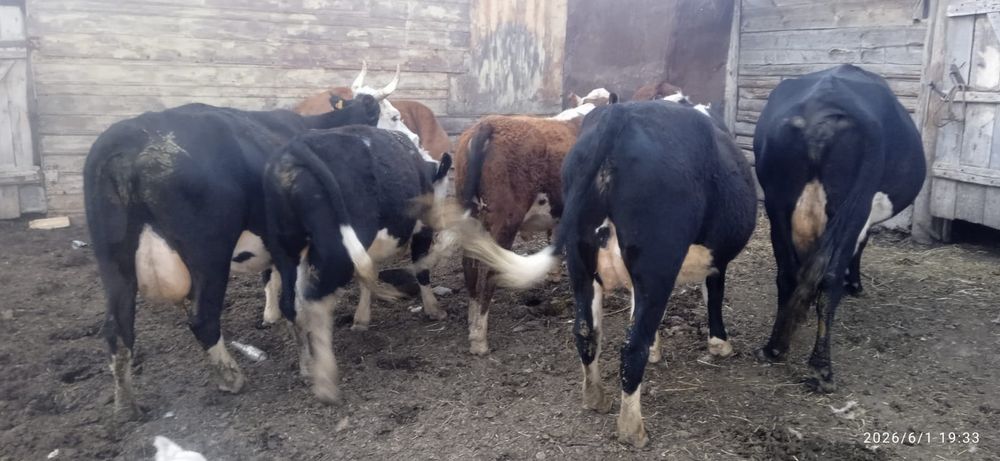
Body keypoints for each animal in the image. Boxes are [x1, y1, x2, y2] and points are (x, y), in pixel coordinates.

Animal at [84, 94, 380, 418]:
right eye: (383, 115)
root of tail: (131, 137)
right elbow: (295, 303)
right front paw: (308, 362)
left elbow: (272, 281)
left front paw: (269, 315)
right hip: (209, 254)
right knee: (203, 318)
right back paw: (231, 378)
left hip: (114, 261)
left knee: (117, 328)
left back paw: (126, 405)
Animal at [262, 125, 451, 402]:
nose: (441, 222)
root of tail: (296, 147)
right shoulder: (420, 231)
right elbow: (422, 271)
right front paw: (433, 309)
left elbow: (367, 277)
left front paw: (361, 319)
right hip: (335, 251)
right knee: (315, 301)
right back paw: (325, 379)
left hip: (286, 250)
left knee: (292, 304)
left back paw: (307, 367)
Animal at [453, 88, 616, 355]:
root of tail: (488, 123)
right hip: (505, 221)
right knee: (490, 268)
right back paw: (479, 338)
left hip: (471, 213)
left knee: (469, 263)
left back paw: (472, 319)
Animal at [752, 64, 926, 392]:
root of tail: (822, 107)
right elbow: (860, 246)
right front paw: (854, 284)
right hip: (852, 205)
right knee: (828, 278)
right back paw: (821, 367)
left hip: (776, 201)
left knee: (788, 273)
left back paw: (776, 346)